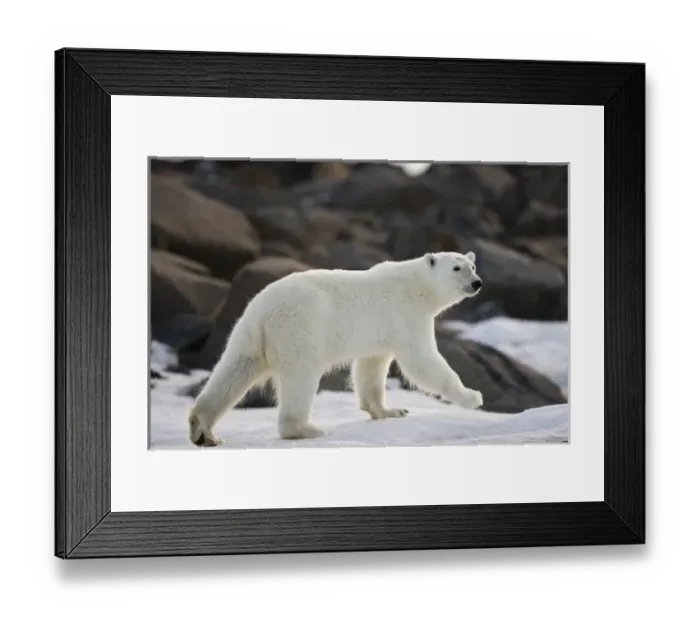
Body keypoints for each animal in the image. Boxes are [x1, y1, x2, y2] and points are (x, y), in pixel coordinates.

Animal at [187, 251, 484, 446]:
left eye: (472, 264)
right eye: (457, 268)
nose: (477, 282)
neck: (418, 284)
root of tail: (261, 311)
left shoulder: (379, 331)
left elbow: (370, 367)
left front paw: (390, 410)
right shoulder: (406, 314)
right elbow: (422, 361)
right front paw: (473, 397)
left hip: (248, 336)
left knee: (233, 372)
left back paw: (203, 430)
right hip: (300, 328)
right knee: (301, 375)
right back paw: (308, 429)